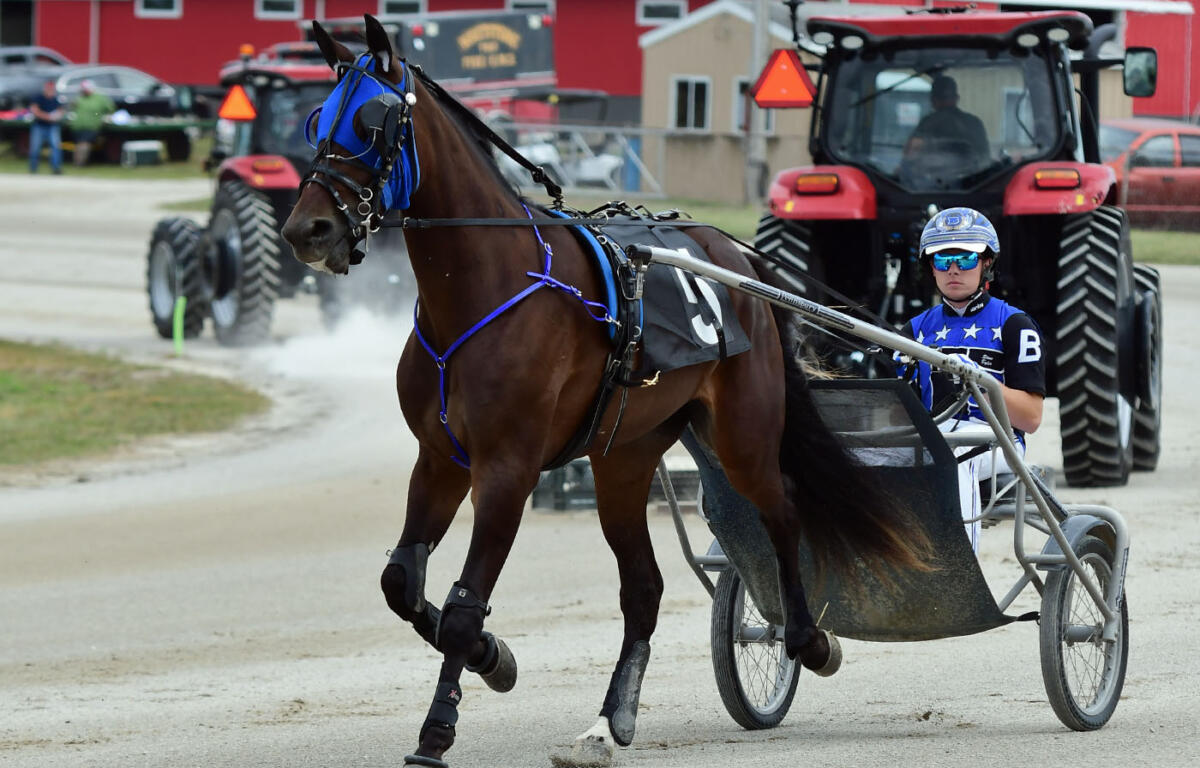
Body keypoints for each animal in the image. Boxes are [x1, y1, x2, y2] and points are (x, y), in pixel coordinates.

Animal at [281, 15, 930, 768]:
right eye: (317, 119)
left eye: (373, 120)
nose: (307, 229)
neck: (486, 285)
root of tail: (739, 261)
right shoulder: (441, 459)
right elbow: (401, 583)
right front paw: (495, 658)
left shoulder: (508, 468)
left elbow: (466, 603)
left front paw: (437, 729)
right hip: (624, 456)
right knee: (643, 586)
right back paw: (610, 718)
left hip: (744, 433)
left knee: (784, 514)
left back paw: (808, 641)